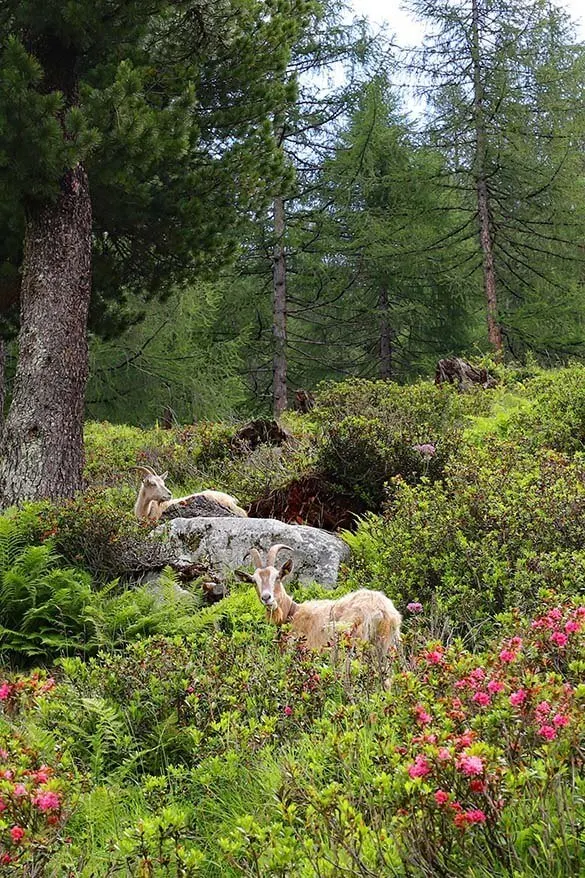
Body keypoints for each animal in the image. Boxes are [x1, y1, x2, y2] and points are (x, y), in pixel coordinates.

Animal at [235, 548, 400, 656]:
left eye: (277, 577)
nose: (266, 598)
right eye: (254, 582)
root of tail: (382, 611)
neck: (293, 612)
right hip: (387, 647)